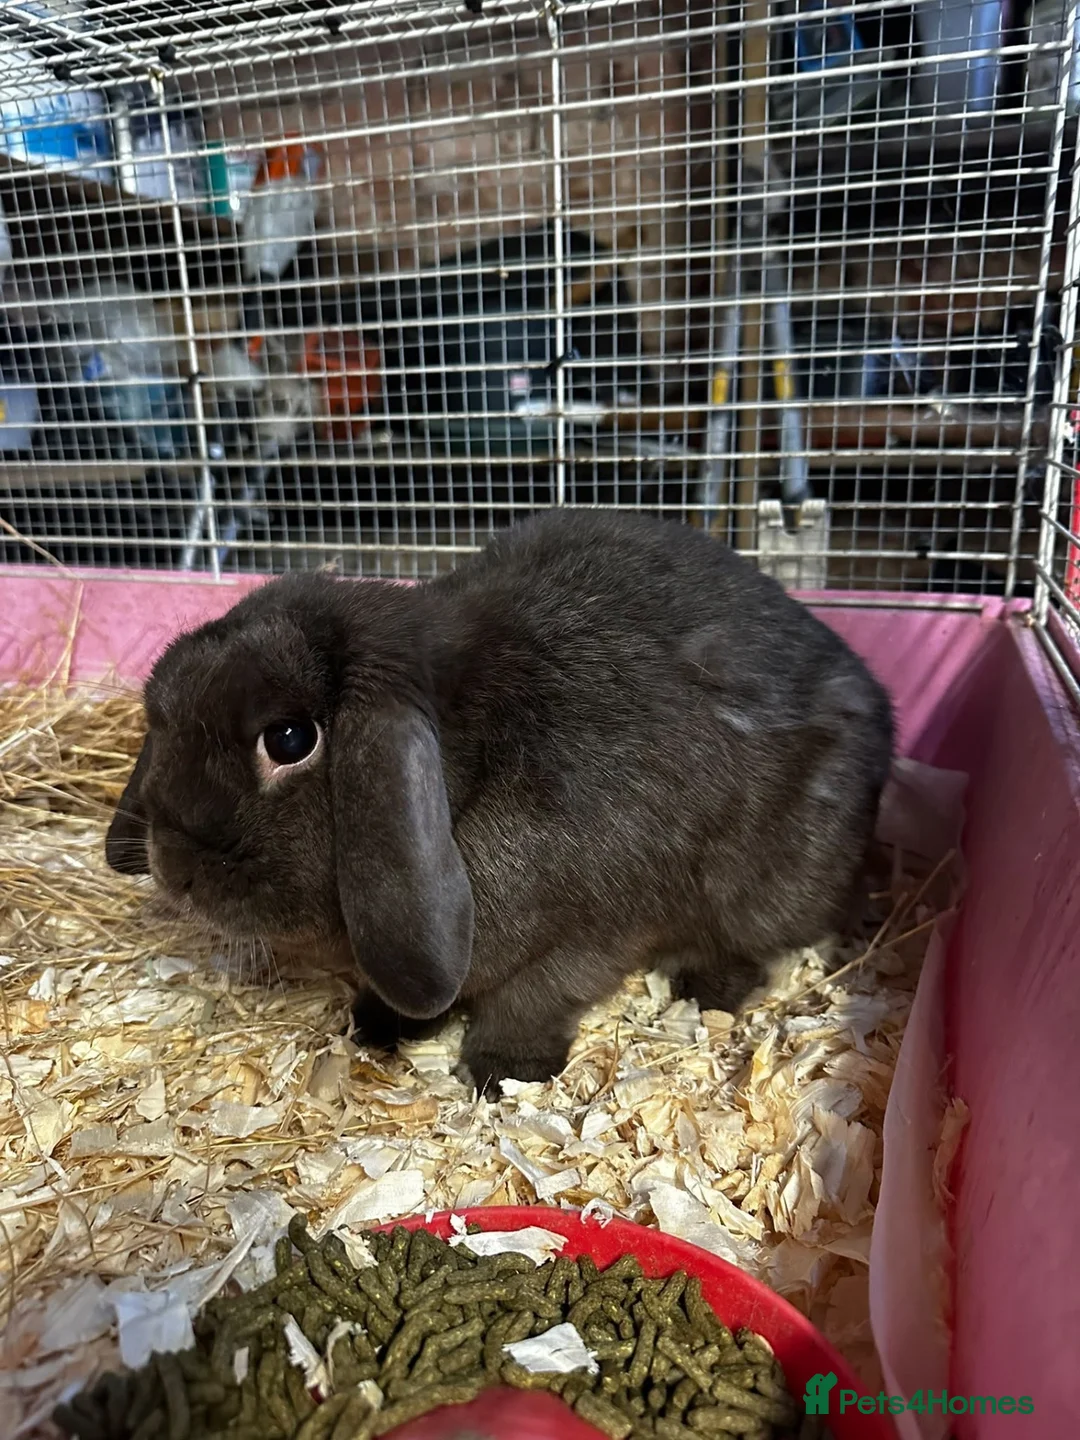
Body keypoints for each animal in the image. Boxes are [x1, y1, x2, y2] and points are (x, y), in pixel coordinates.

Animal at [105, 509, 894, 1096]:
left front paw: (501, 1074)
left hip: (771, 886)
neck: (468, 773)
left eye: (289, 738)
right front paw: (378, 1027)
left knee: (756, 947)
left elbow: (531, 1000)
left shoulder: (592, 935)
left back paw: (706, 990)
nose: (170, 868)